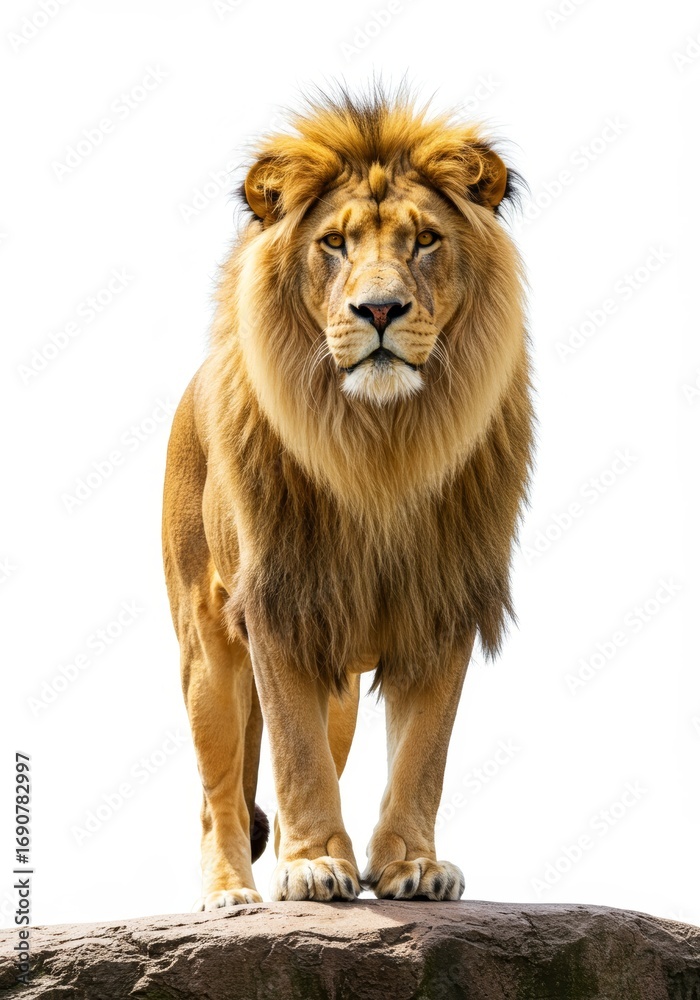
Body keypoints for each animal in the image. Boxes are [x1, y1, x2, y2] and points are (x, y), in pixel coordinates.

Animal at [162, 86, 534, 908]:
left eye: (425, 240)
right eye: (333, 242)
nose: (381, 310)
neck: (380, 448)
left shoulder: (442, 600)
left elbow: (423, 752)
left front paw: (410, 864)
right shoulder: (279, 600)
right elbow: (294, 755)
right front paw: (311, 867)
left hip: (338, 686)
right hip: (206, 651)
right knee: (217, 793)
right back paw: (231, 894)